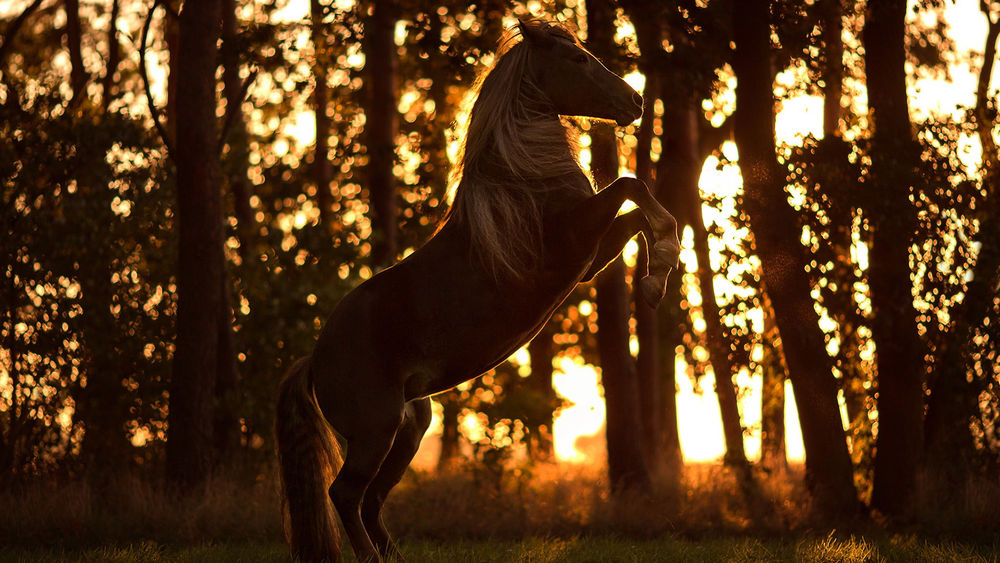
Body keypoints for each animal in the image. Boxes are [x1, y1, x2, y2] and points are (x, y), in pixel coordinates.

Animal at [276, 19, 680, 563]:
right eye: (578, 59)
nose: (635, 101)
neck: (522, 184)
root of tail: (314, 360)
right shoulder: (577, 238)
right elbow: (631, 186)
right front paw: (659, 273)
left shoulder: (589, 258)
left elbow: (640, 212)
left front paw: (656, 278)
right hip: (376, 430)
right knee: (345, 494)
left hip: (408, 428)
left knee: (371, 500)